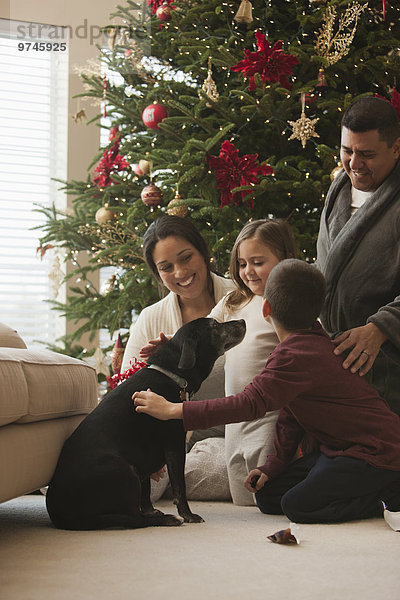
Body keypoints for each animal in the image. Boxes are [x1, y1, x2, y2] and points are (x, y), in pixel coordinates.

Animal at [47, 318, 247, 528]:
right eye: (214, 325)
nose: (242, 320)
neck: (172, 374)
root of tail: (58, 514)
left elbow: (147, 488)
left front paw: (151, 510)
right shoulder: (174, 445)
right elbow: (179, 486)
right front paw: (188, 515)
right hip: (125, 470)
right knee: (134, 519)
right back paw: (168, 519)